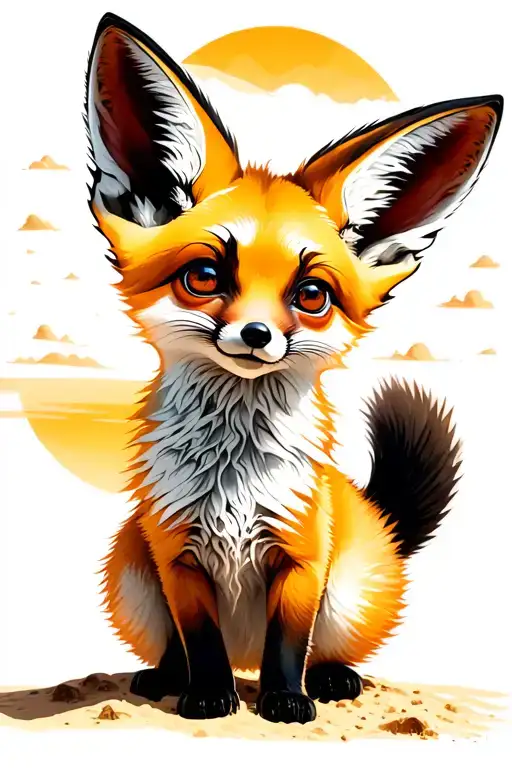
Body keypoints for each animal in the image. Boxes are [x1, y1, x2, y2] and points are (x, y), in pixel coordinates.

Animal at [85, 12, 503, 724]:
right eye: (204, 277)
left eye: (311, 295)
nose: (257, 335)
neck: (232, 484)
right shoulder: (177, 558)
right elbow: (200, 640)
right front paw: (207, 695)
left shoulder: (302, 557)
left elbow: (288, 643)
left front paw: (284, 700)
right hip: (131, 573)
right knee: (174, 645)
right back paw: (165, 676)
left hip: (351, 594)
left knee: (328, 648)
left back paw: (331, 678)